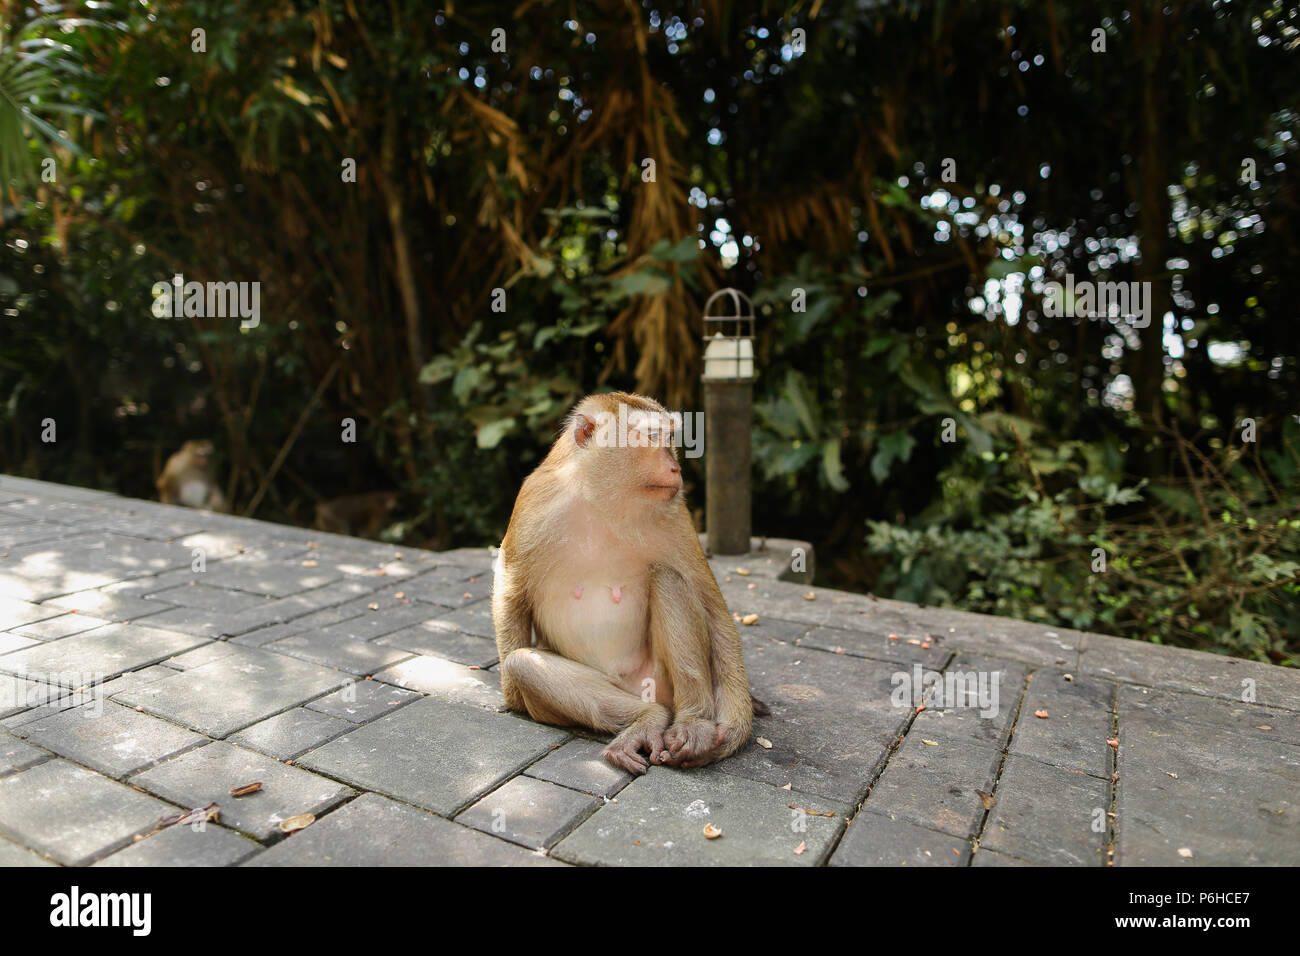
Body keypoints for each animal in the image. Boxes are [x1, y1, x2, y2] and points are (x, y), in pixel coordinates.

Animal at [493, 392, 759, 775]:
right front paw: (514, 698)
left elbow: (713, 610)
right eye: (651, 437)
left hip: (659, 681)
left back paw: (692, 723)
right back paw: (646, 719)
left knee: (669, 578)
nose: (676, 468)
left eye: (669, 438)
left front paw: (734, 729)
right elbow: (511, 589)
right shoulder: (534, 502)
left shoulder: (675, 512)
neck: (603, 501)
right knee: (523, 663)